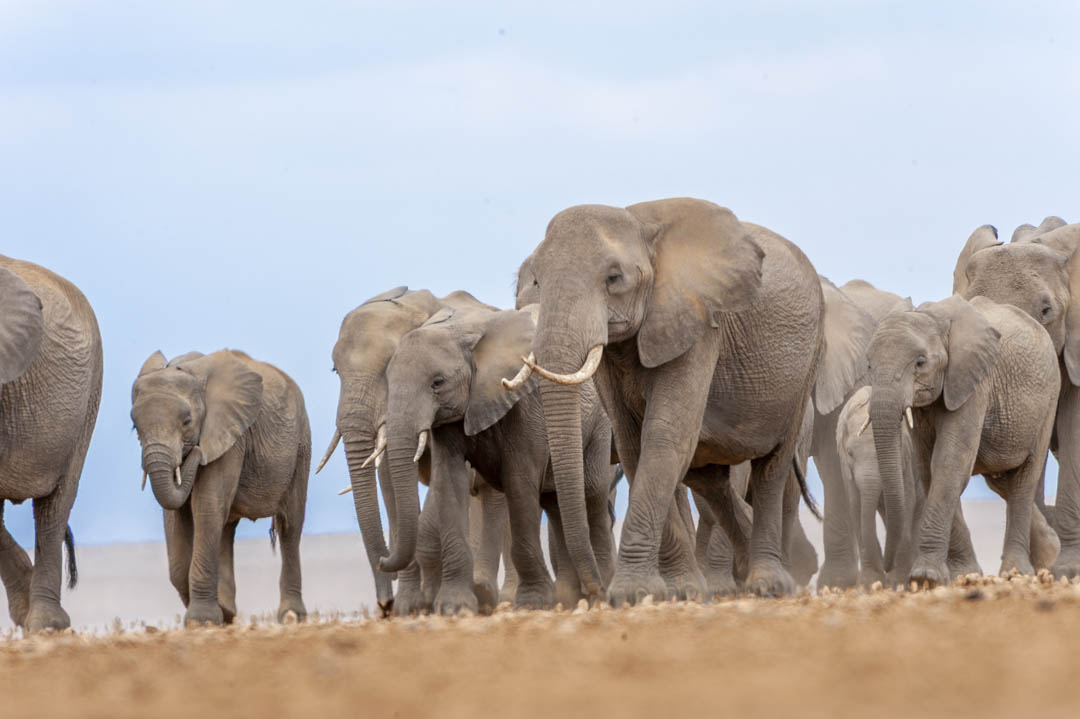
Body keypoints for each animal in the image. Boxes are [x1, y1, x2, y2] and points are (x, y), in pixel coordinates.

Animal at [131, 349, 310, 625]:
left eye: (187, 421)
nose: (195, 451)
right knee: (226, 529)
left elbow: (206, 506)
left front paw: (201, 621)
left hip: (301, 446)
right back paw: (228, 611)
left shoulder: (230, 435)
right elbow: (177, 516)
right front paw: (218, 614)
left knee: (290, 525)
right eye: (135, 426)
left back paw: (291, 616)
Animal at [318, 286, 498, 615]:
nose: (384, 604)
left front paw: (426, 600)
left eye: (388, 369)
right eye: (335, 370)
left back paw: (486, 593)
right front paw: (408, 607)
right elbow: (390, 485)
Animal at [378, 304, 617, 613]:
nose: (382, 560)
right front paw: (454, 607)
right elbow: (449, 482)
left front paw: (532, 603)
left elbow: (518, 482)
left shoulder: (524, 405)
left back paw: (597, 589)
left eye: (437, 383)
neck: (463, 330)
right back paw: (570, 597)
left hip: (599, 427)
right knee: (555, 506)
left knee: (593, 495)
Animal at [509, 197, 830, 603]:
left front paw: (632, 595)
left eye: (614, 278)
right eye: (538, 279)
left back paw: (768, 585)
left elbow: (664, 438)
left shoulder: (700, 324)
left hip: (805, 369)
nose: (595, 591)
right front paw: (681, 592)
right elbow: (634, 445)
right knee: (708, 478)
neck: (639, 224)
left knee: (771, 466)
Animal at [865, 294, 1060, 586]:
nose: (888, 569)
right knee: (1002, 481)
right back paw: (1050, 552)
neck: (933, 315)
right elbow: (929, 468)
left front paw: (925, 578)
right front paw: (964, 574)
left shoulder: (974, 383)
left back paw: (1016, 573)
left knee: (1024, 479)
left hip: (1049, 400)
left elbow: (949, 463)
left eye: (920, 363)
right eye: (868, 365)